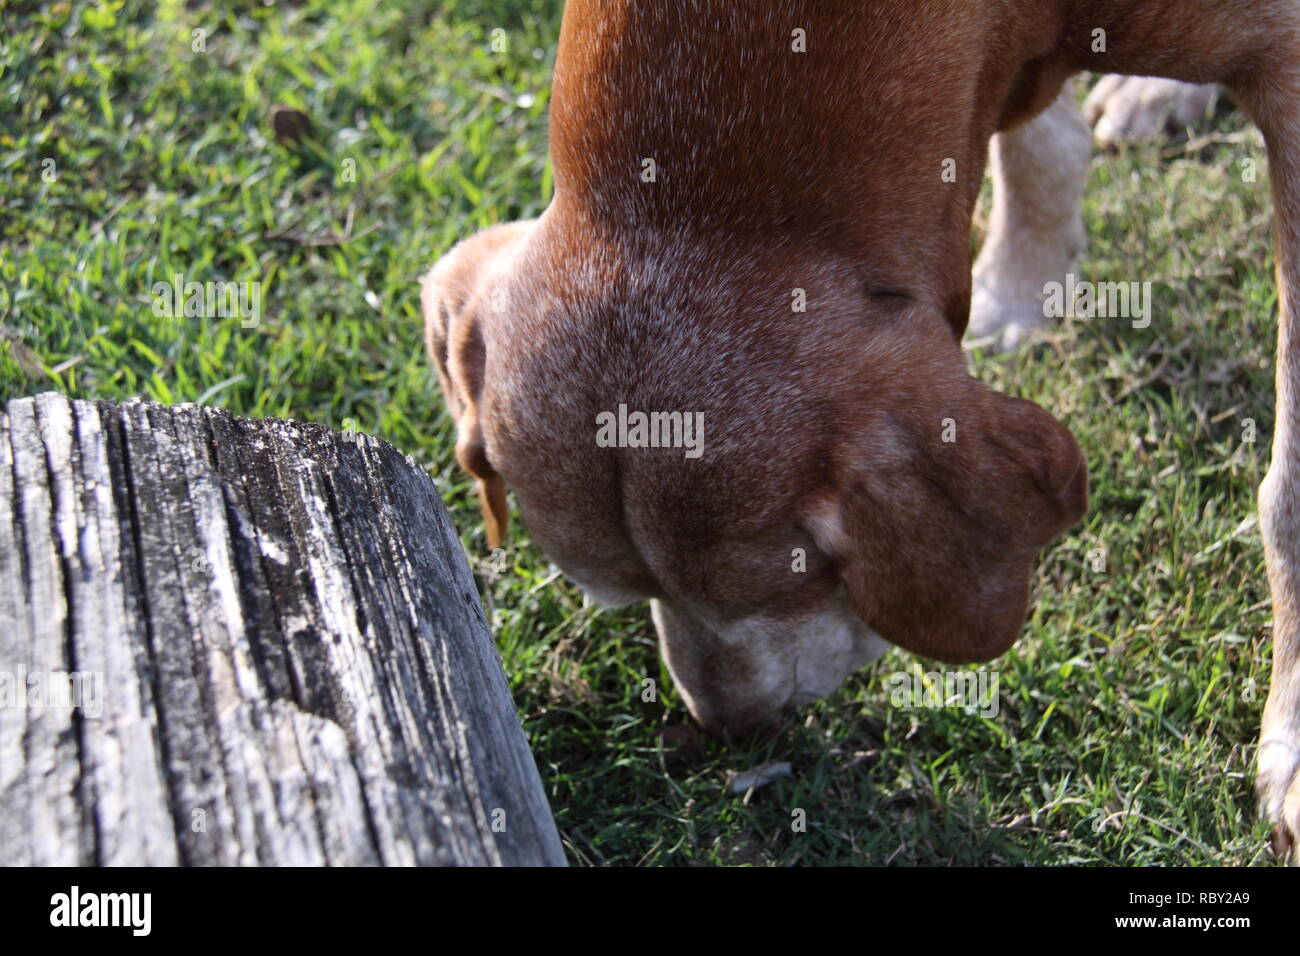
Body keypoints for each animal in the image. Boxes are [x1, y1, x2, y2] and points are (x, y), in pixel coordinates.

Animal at [423, 0, 1300, 853]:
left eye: (803, 578)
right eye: (619, 595)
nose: (729, 728)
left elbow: (1286, 497)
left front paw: (1290, 749)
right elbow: (1038, 146)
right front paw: (1022, 282)